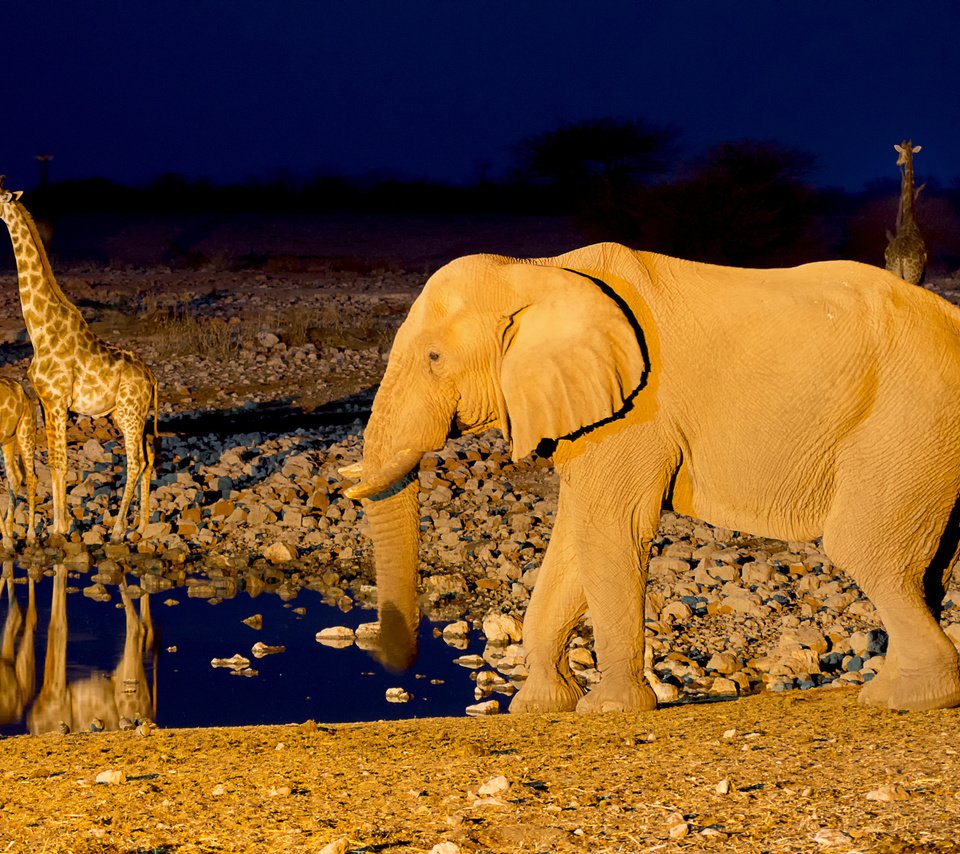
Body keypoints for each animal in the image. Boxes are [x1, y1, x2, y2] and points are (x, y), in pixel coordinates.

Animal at [0, 178, 158, 540]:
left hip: (131, 413)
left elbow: (60, 461)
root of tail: (153, 377)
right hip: (128, 415)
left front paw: (58, 528)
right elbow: (54, 460)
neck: (39, 330)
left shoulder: (58, 400)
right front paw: (60, 524)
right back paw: (142, 526)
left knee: (135, 460)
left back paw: (118, 530)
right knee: (149, 456)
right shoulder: (46, 401)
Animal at [342, 242, 960, 716]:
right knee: (926, 568)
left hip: (907, 420)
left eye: (434, 357)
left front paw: (608, 710)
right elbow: (574, 540)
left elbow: (610, 531)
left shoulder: (635, 413)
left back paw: (905, 699)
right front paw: (538, 708)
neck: (540, 269)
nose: (388, 661)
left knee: (866, 549)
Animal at [880, 140, 928, 286]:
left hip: (893, 271)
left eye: (900, 153)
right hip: (912, 276)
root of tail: (901, 258)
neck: (909, 219)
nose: (897, 162)